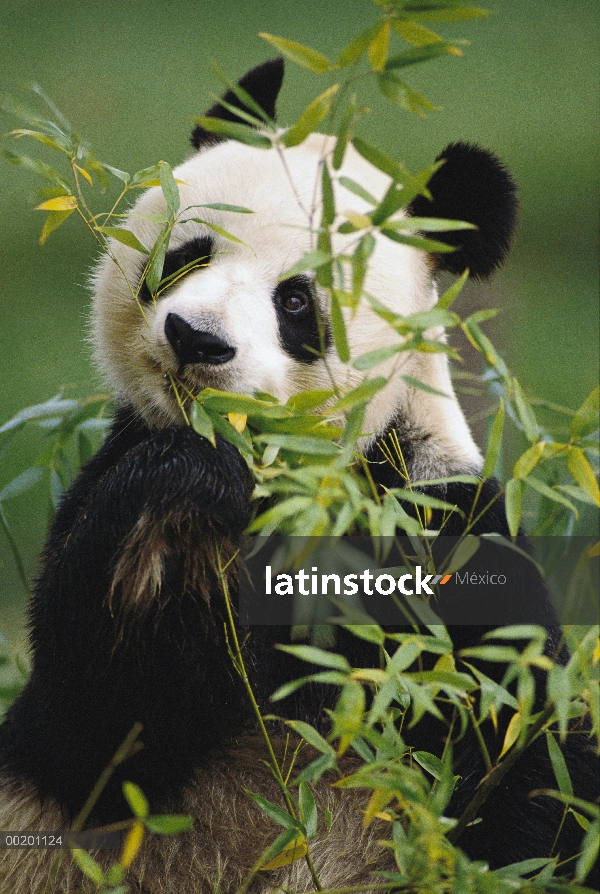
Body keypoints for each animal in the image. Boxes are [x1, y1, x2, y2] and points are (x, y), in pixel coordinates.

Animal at [0, 59, 596, 892]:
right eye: (188, 253)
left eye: (294, 300)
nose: (195, 339)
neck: (288, 477)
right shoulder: (116, 473)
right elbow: (94, 725)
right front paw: (182, 493)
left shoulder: (433, 526)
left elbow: (521, 755)